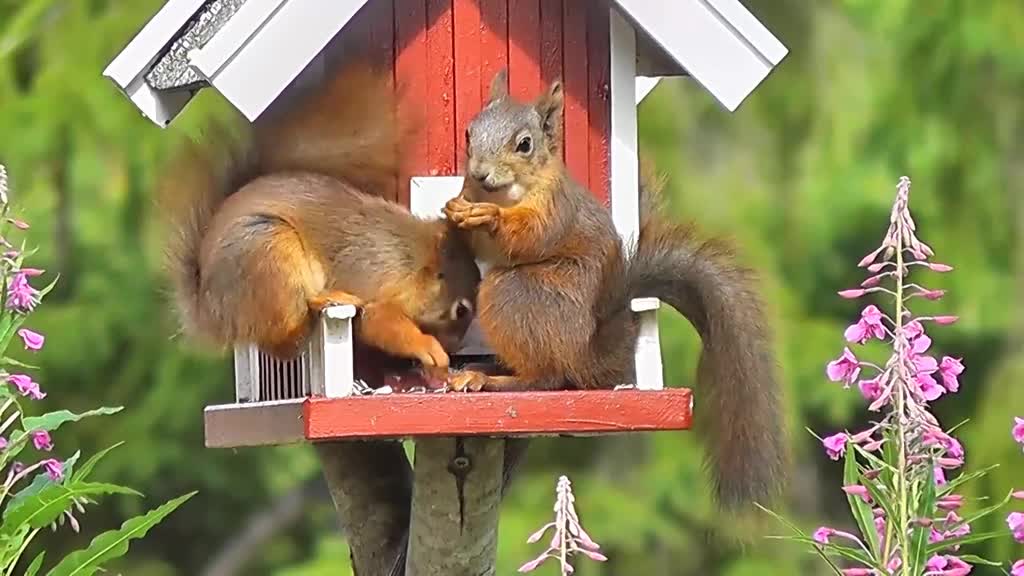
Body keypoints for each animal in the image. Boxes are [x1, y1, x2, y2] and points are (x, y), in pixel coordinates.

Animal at [159, 61, 479, 377]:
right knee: (284, 344)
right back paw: (325, 301)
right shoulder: (376, 280)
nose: (454, 347)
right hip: (269, 255)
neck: (412, 255)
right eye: (461, 310)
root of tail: (210, 313)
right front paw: (429, 348)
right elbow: (378, 324)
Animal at [444, 69, 786, 504]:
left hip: (514, 296)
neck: (507, 194)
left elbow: (527, 238)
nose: (480, 173)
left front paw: (488, 216)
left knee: (545, 378)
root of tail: (586, 353)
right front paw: (456, 208)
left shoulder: (554, 209)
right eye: (468, 132)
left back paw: (489, 379)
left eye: (524, 144)